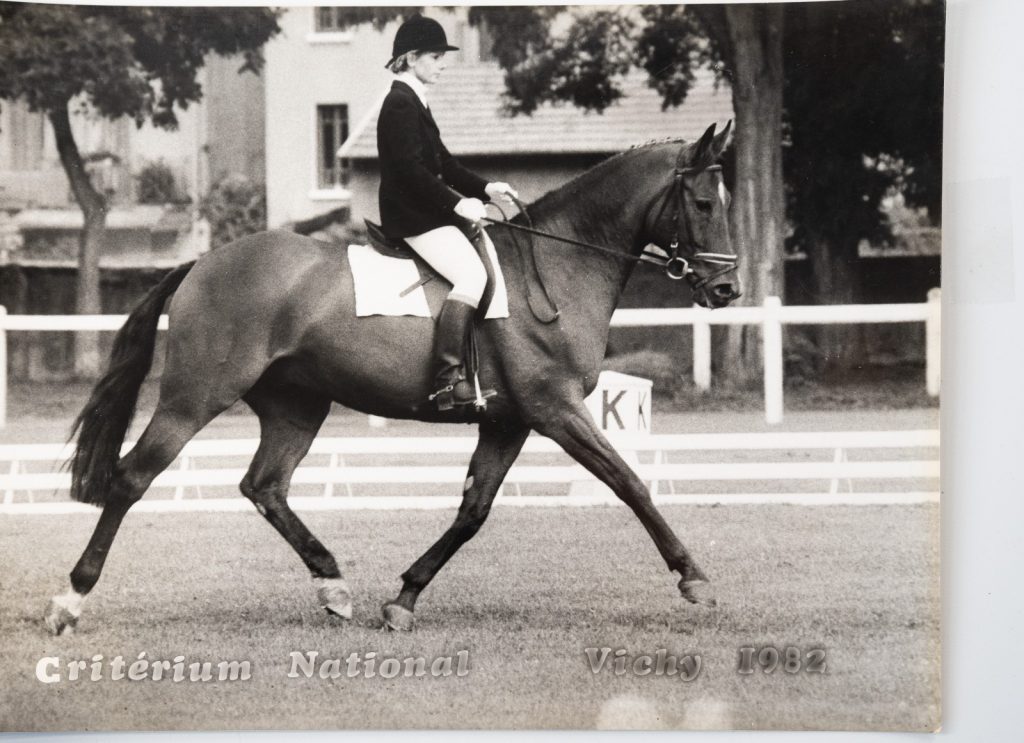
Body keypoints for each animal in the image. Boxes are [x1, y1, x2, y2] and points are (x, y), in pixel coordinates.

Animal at [44, 122, 740, 635]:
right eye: (704, 204)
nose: (728, 290)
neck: (556, 265)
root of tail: (202, 263)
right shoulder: (555, 410)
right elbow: (631, 483)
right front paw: (695, 579)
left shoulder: (509, 421)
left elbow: (473, 511)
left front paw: (403, 599)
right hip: (195, 397)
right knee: (133, 478)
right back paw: (69, 601)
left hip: (297, 404)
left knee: (265, 485)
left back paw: (333, 586)